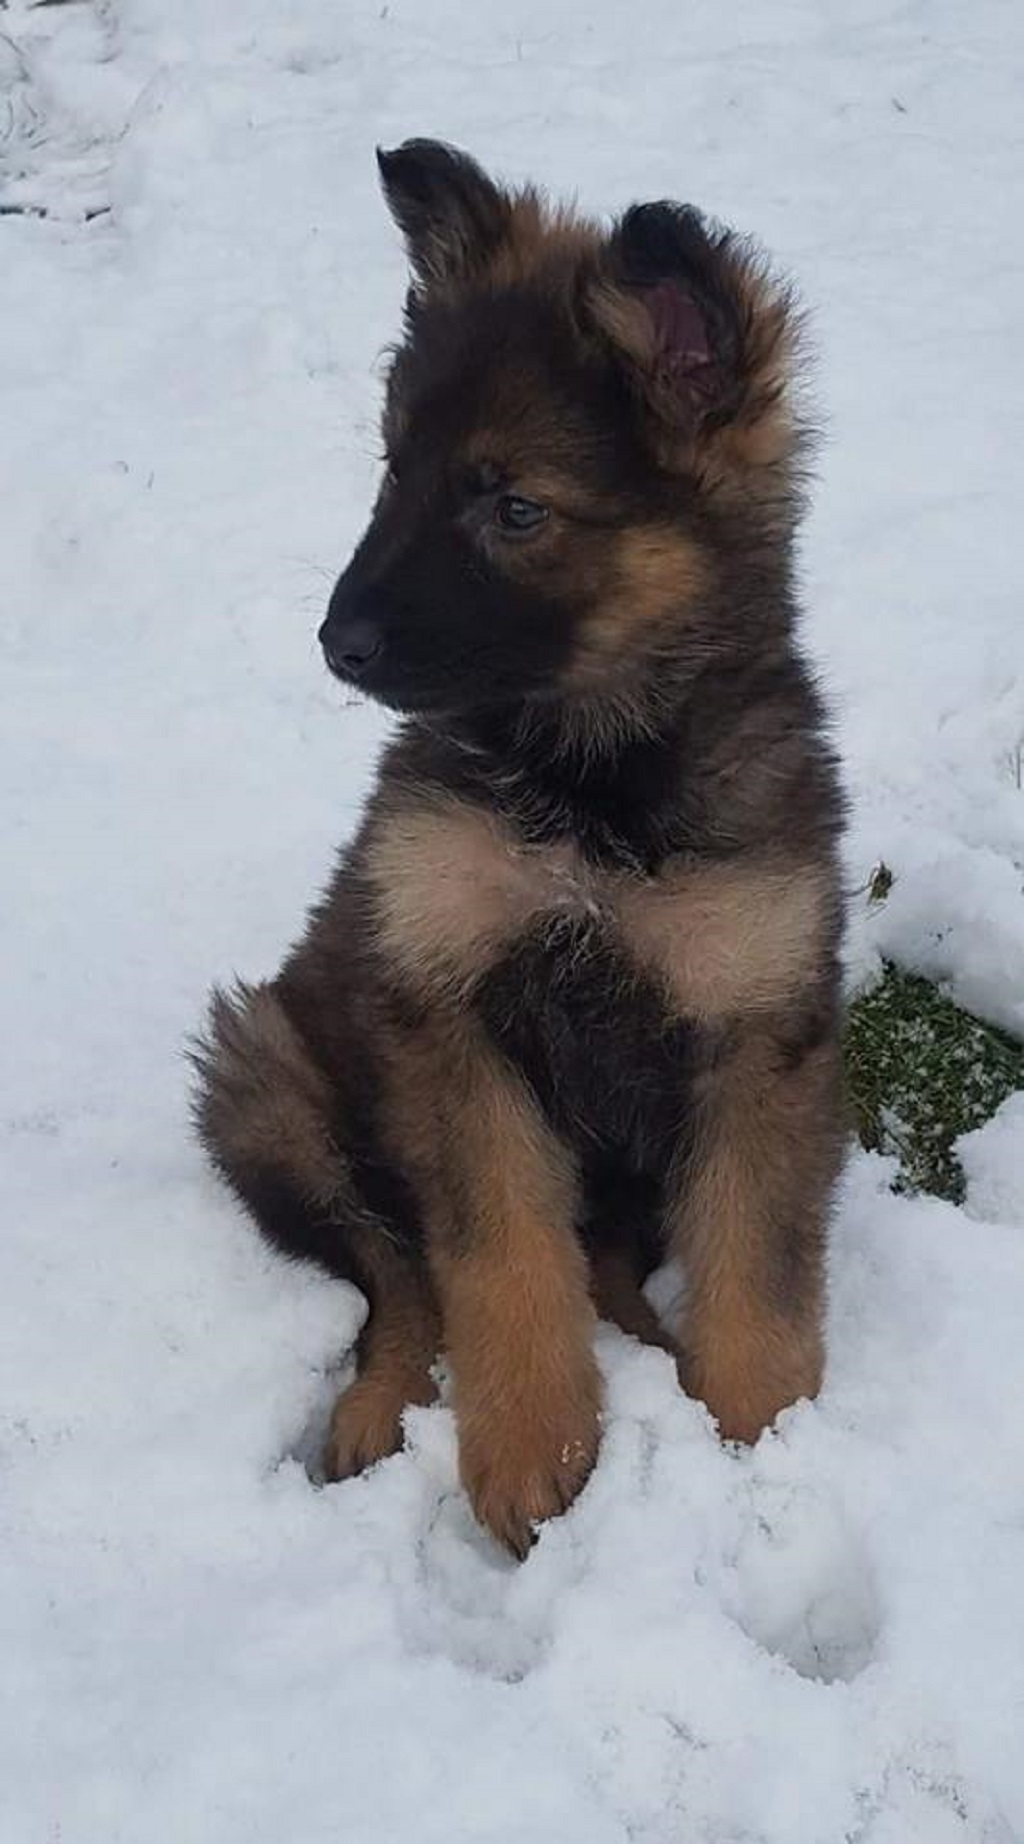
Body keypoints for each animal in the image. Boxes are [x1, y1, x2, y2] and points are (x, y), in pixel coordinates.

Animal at [194, 140, 848, 1556]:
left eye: (514, 507)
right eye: (392, 469)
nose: (337, 645)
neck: (590, 780)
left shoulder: (758, 1024)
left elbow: (755, 1263)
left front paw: (759, 1441)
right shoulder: (450, 1014)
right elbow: (498, 1258)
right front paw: (533, 1454)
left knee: (588, 1261)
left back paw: (645, 1339)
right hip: (266, 1073)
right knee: (395, 1278)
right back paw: (378, 1407)